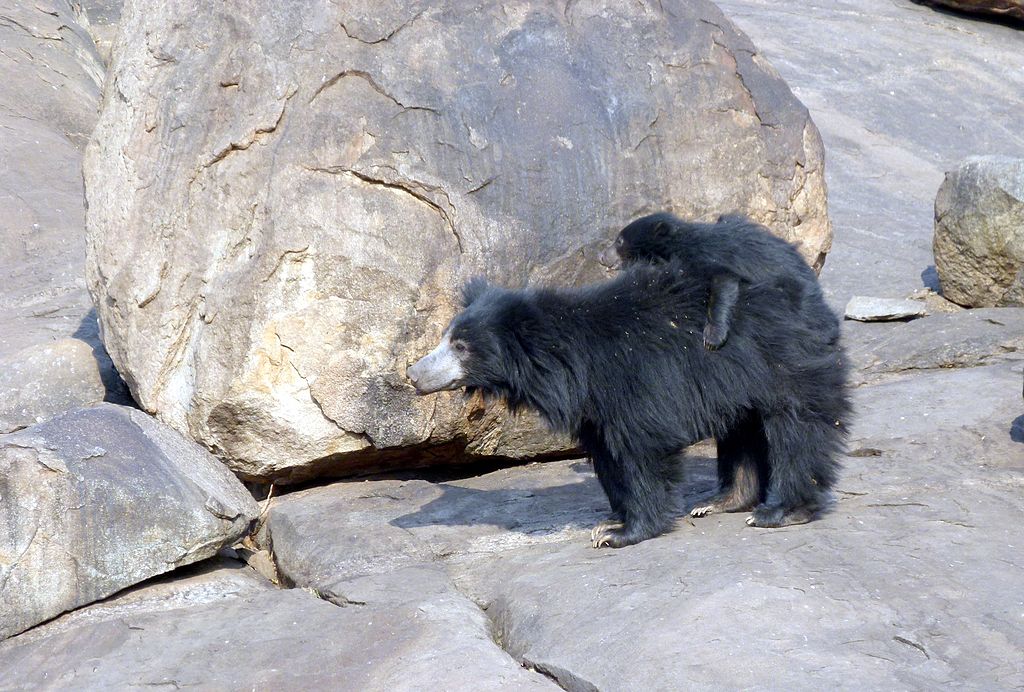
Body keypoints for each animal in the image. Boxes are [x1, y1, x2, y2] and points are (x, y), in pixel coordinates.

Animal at [405, 257, 847, 544]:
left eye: (460, 346)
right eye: (446, 338)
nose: (413, 373)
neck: (570, 365)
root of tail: (813, 298)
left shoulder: (634, 380)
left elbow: (642, 451)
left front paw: (620, 532)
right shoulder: (593, 408)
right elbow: (605, 456)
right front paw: (614, 514)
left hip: (784, 363)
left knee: (797, 428)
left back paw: (780, 511)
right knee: (742, 429)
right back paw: (721, 501)